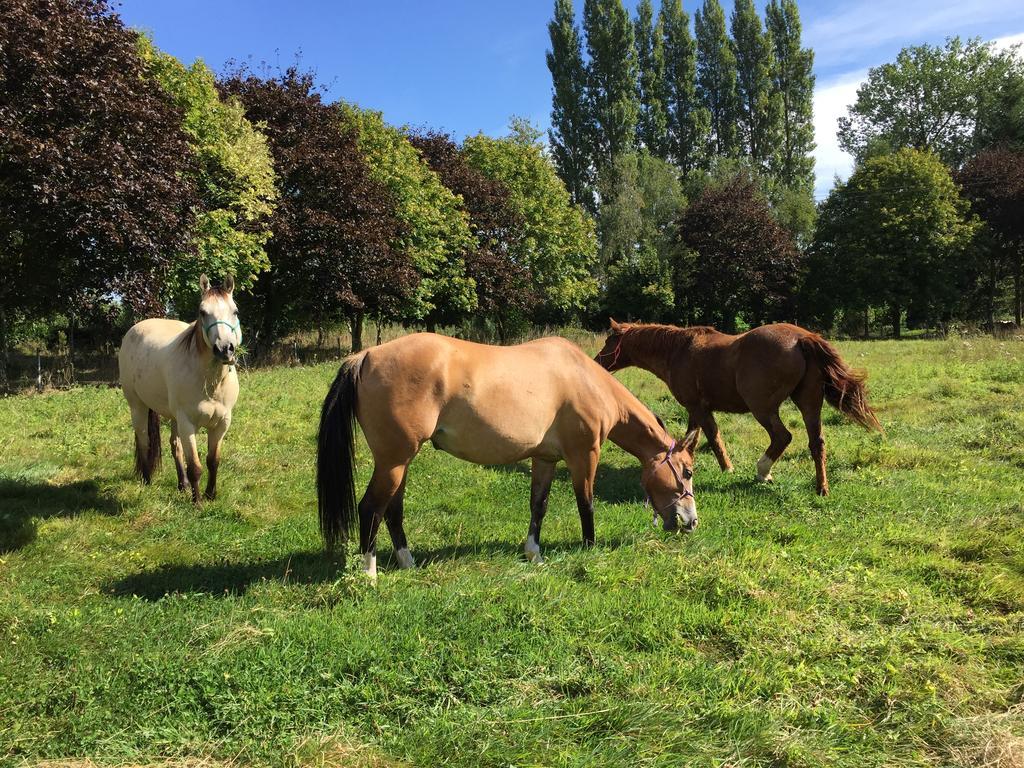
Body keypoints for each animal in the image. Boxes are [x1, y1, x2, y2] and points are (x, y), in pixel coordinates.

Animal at [117, 276, 241, 505]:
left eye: (235, 311)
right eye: (202, 312)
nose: (224, 349)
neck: (210, 382)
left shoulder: (222, 423)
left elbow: (213, 460)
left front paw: (210, 495)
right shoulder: (187, 423)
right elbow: (195, 467)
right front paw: (198, 502)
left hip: (173, 417)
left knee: (175, 446)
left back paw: (182, 485)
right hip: (138, 406)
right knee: (143, 441)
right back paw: (147, 481)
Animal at [315, 333, 700, 581]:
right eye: (688, 472)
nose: (691, 522)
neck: (587, 381)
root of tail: (365, 356)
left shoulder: (545, 460)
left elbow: (538, 505)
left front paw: (534, 553)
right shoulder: (584, 456)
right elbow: (586, 504)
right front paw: (589, 548)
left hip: (400, 462)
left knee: (392, 509)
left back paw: (407, 563)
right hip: (393, 461)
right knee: (371, 508)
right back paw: (369, 573)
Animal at [593, 319, 880, 495]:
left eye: (608, 341)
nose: (596, 364)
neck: (678, 351)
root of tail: (803, 338)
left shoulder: (698, 408)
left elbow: (711, 438)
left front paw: (726, 469)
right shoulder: (696, 409)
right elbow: (694, 438)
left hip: (763, 408)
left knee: (782, 437)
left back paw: (763, 472)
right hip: (809, 404)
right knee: (816, 443)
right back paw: (821, 488)